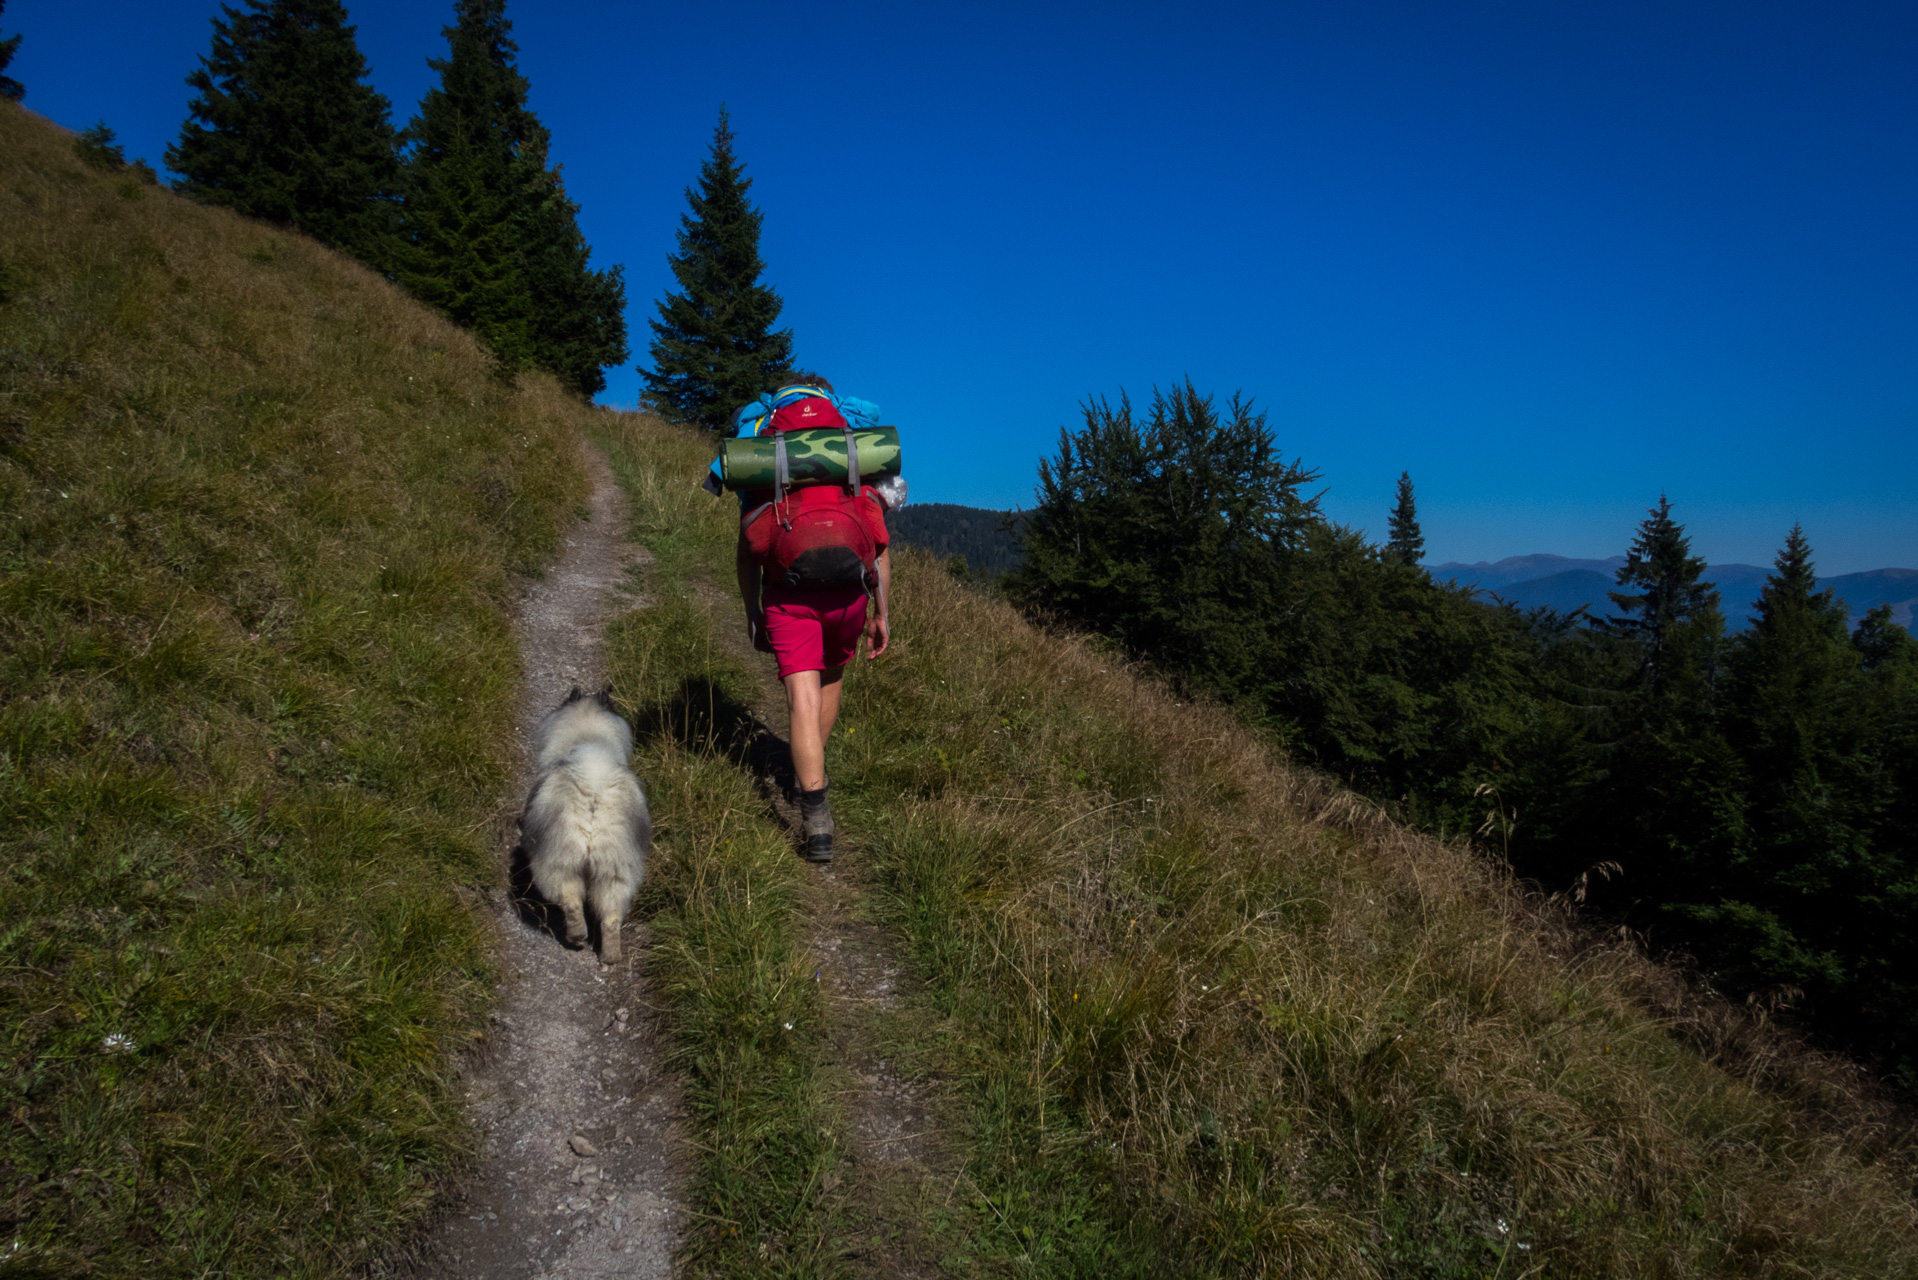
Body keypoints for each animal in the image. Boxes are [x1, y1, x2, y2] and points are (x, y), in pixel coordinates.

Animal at [517, 690, 652, 959]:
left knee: (570, 901)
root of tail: (593, 793)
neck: (588, 734)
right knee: (611, 916)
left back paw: (577, 937)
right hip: (616, 870)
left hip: (559, 860)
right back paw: (610, 955)